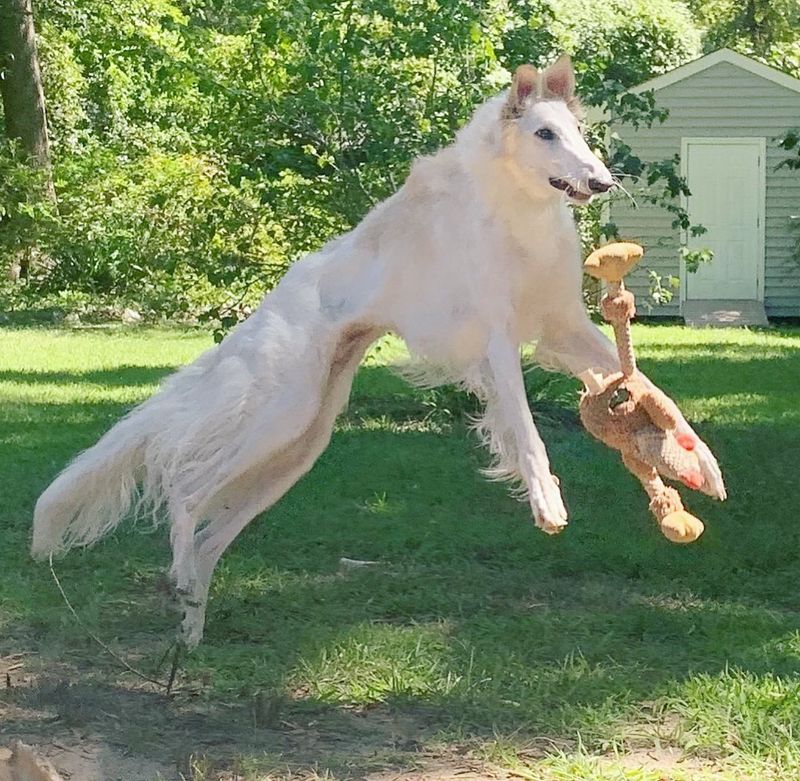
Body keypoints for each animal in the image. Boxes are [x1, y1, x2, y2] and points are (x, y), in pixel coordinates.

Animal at [31, 58, 724, 644]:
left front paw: (696, 463)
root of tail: (271, 301)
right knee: (183, 488)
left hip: (298, 448)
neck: (512, 209)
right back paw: (178, 577)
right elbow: (528, 436)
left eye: (578, 133)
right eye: (545, 134)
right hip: (277, 415)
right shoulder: (496, 341)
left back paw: (189, 624)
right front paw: (547, 502)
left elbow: (655, 393)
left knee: (206, 536)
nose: (601, 182)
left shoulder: (562, 330)